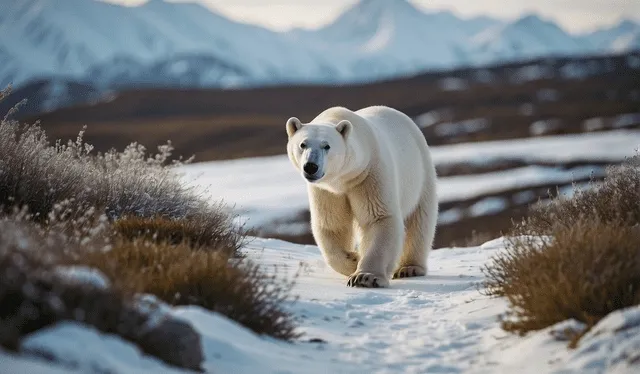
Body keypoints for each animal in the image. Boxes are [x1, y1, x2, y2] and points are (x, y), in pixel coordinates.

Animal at [286, 106, 440, 288]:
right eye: (302, 144)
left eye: (327, 146)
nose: (310, 167)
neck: (345, 178)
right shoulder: (327, 191)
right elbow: (332, 224)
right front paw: (353, 259)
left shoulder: (370, 174)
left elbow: (379, 217)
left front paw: (365, 277)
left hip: (420, 173)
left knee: (420, 220)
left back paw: (409, 268)